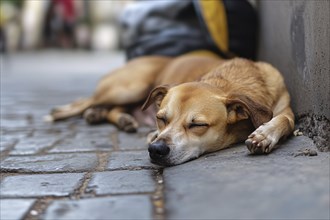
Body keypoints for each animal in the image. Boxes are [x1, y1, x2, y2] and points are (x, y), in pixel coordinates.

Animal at [46, 52, 294, 165]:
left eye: (197, 125)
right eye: (161, 118)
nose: (156, 149)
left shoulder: (285, 109)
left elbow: (285, 121)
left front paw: (264, 134)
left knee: (110, 108)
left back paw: (116, 118)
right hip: (129, 87)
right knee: (85, 101)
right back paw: (58, 113)